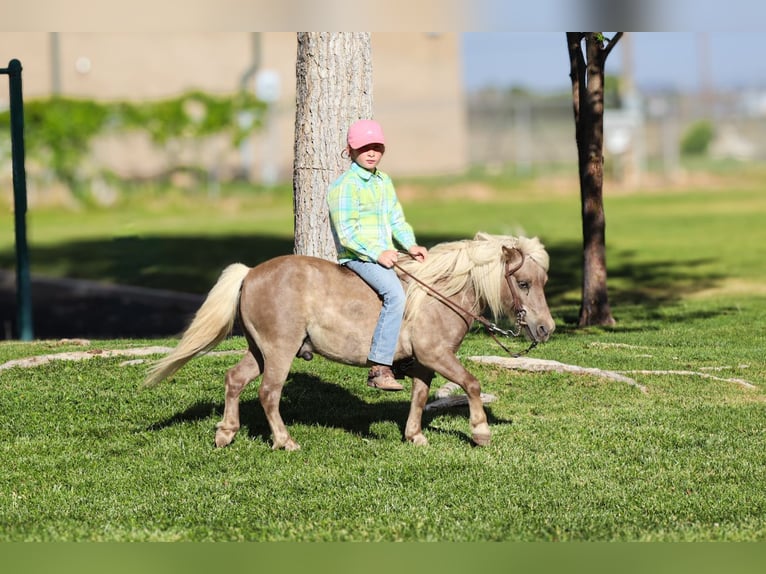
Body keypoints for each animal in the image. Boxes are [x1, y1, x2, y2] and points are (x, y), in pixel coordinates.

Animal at [144, 232, 555, 450]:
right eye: (523, 283)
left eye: (542, 282)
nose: (545, 329)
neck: (438, 294)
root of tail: (250, 273)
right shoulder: (437, 355)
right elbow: (472, 383)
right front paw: (480, 431)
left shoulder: (425, 364)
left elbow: (421, 396)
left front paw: (415, 435)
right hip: (279, 350)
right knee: (268, 393)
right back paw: (284, 441)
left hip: (258, 350)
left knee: (234, 380)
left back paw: (226, 433)